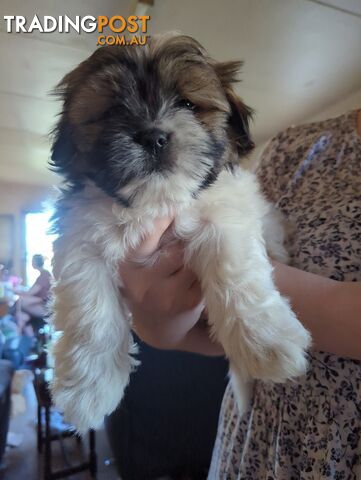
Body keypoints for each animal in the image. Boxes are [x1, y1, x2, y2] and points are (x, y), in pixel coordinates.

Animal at [49, 33, 310, 432]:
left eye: (187, 104)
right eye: (111, 111)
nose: (153, 136)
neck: (154, 204)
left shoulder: (227, 214)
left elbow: (236, 272)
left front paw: (265, 340)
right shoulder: (79, 239)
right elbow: (90, 314)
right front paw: (89, 388)